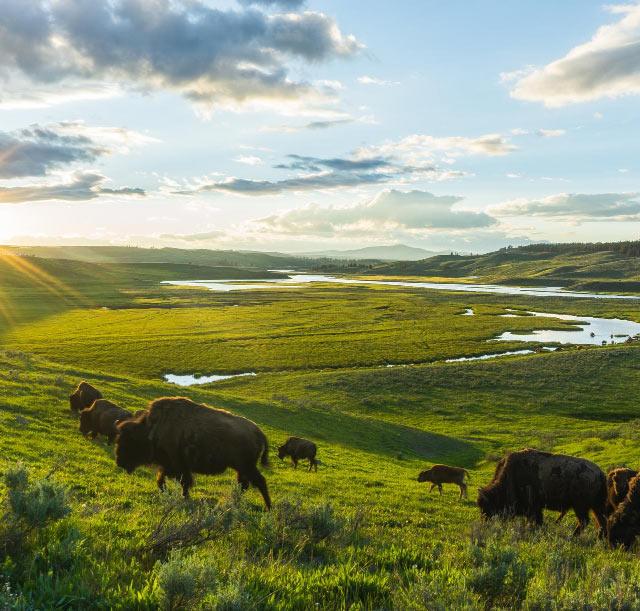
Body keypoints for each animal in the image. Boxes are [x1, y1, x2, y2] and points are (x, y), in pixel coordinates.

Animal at [115, 397, 271, 509]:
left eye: (128, 440)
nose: (119, 462)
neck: (151, 430)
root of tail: (258, 432)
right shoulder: (170, 467)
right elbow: (161, 480)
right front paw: (169, 493)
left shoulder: (178, 466)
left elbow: (183, 482)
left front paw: (185, 497)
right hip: (241, 468)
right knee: (243, 484)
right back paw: (233, 502)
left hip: (247, 467)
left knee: (259, 482)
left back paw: (268, 508)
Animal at [477, 449, 607, 537]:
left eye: (487, 506)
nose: (484, 523)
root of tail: (600, 473)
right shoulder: (535, 507)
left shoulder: (534, 507)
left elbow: (537, 520)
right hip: (595, 506)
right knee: (600, 521)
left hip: (580, 506)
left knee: (584, 521)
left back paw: (573, 536)